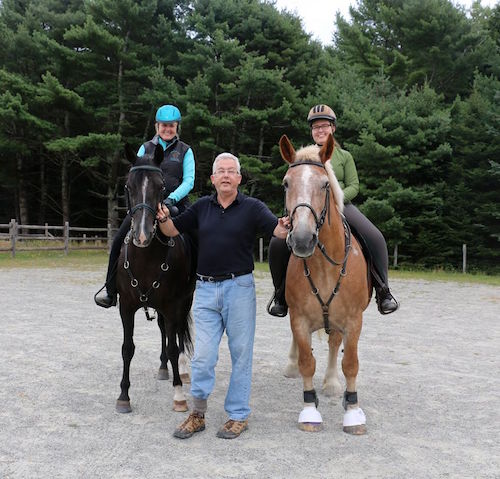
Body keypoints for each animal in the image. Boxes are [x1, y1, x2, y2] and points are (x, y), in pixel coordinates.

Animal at [116, 144, 196, 414]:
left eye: (161, 187)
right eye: (128, 186)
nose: (142, 235)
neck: (146, 259)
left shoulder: (172, 305)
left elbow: (173, 346)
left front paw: (179, 394)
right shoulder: (126, 307)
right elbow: (127, 348)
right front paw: (123, 396)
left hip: (184, 302)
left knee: (177, 334)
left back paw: (181, 370)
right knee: (163, 329)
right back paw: (163, 368)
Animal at [282, 134, 372, 436]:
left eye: (324, 184)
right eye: (286, 183)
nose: (302, 239)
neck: (324, 265)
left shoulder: (354, 320)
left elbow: (351, 363)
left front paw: (353, 412)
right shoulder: (298, 318)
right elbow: (307, 362)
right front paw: (310, 410)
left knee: (335, 344)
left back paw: (332, 383)